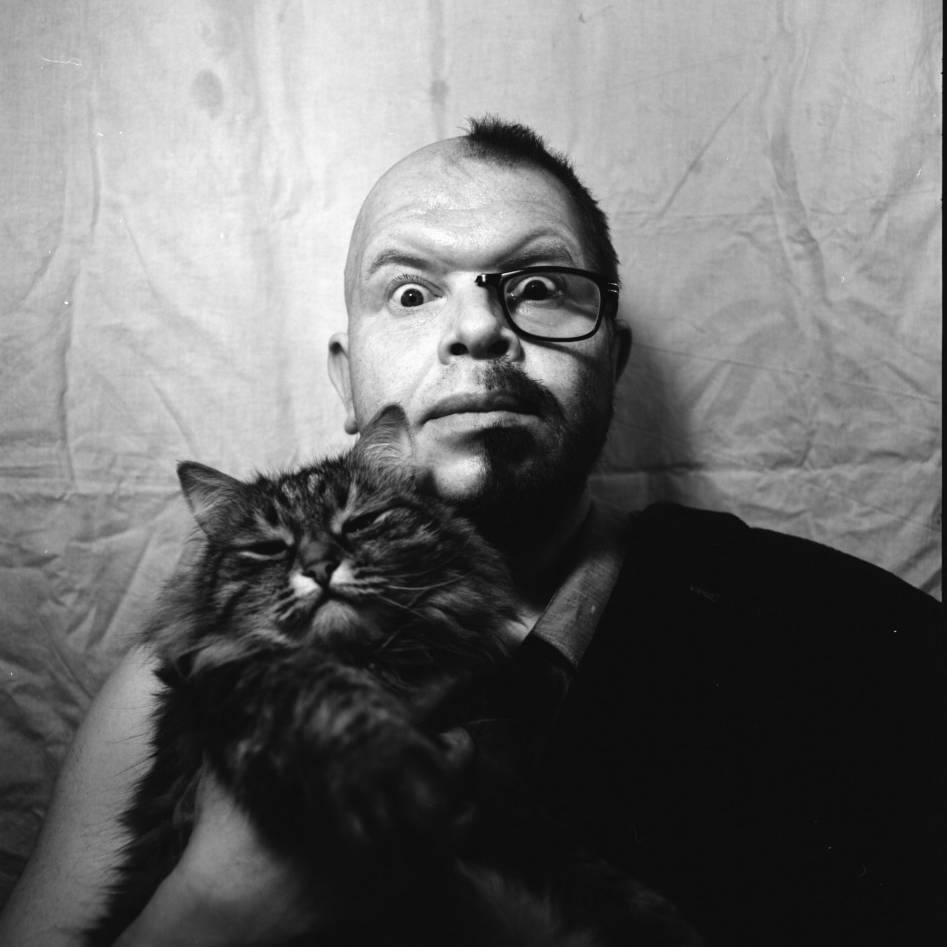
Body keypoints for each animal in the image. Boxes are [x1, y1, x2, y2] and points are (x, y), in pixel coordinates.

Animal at [84, 405, 703, 947]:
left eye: (360, 522)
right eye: (268, 548)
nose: (319, 566)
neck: (373, 661)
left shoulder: (496, 777)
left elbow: (576, 865)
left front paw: (654, 920)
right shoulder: (233, 677)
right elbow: (324, 702)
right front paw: (388, 769)